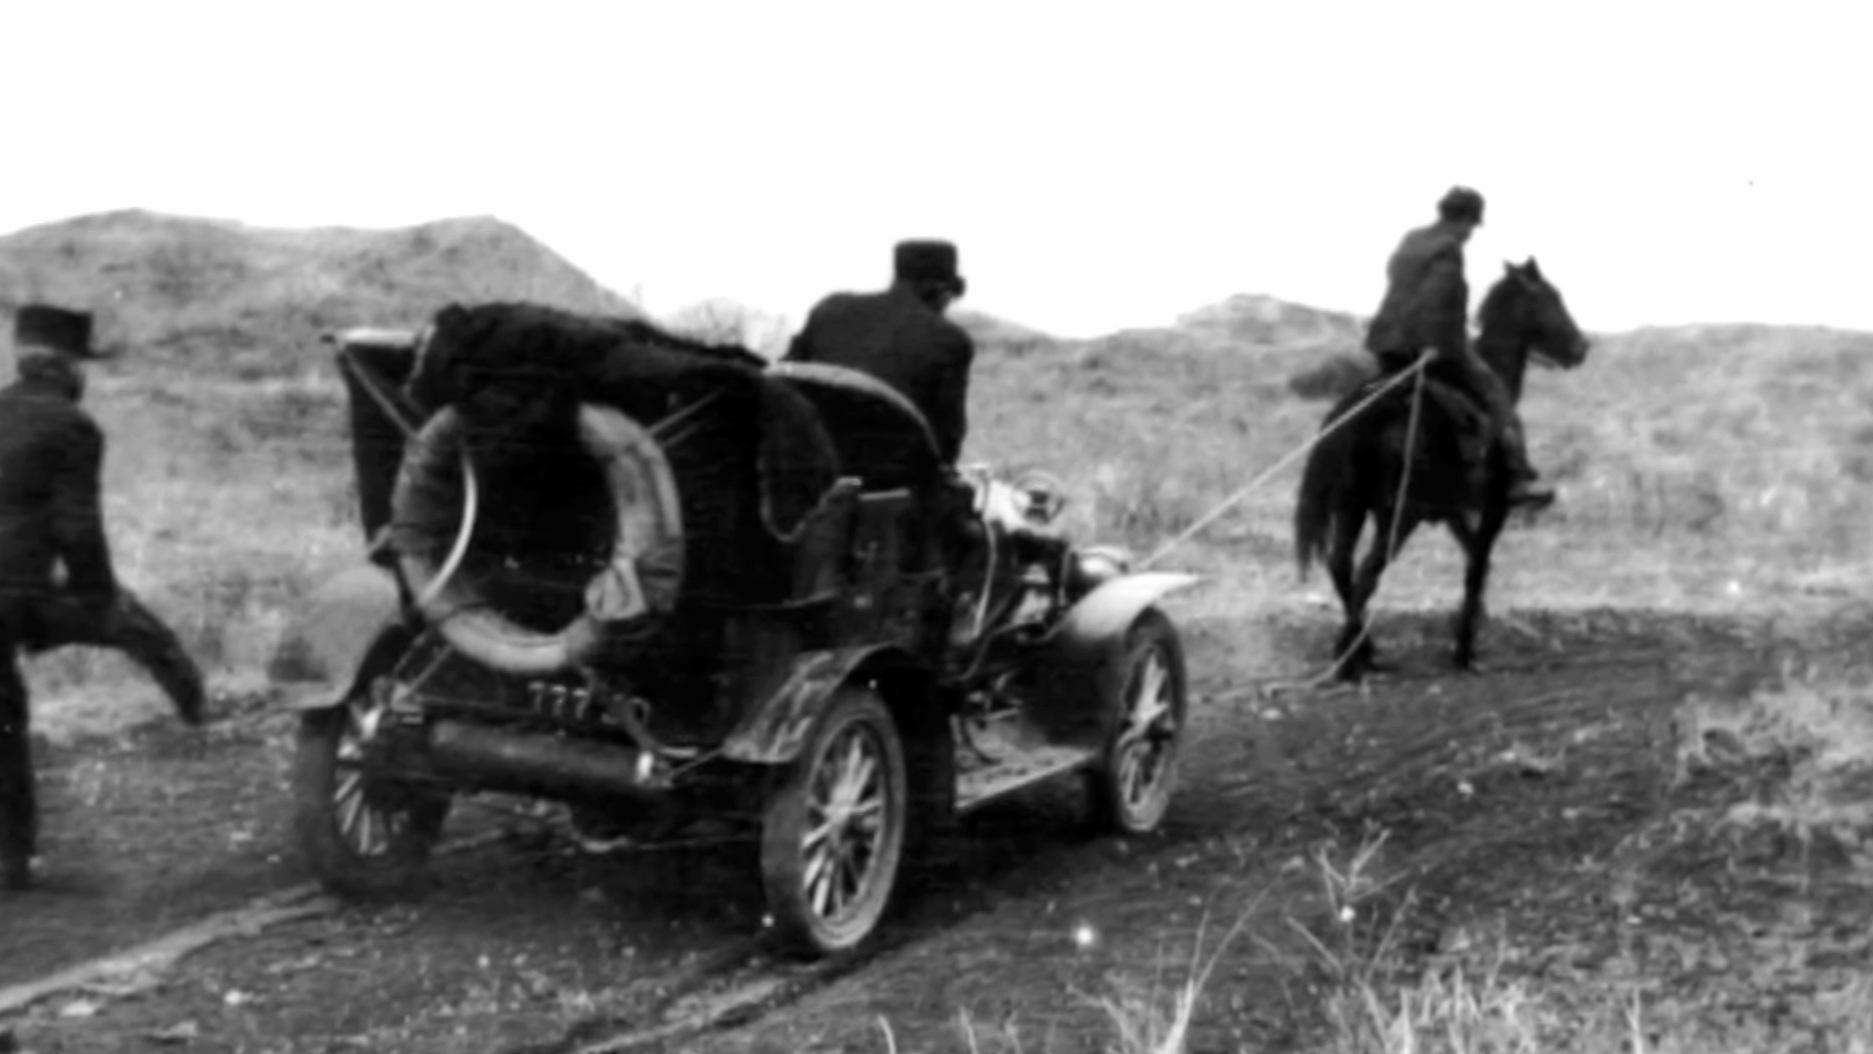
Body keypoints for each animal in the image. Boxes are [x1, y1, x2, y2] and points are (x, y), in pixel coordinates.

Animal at [1296, 260, 1588, 681]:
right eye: (1551, 297)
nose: (1581, 347)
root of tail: (1362, 410)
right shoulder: (1493, 509)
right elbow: (1477, 566)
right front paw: (1464, 651)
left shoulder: (1454, 513)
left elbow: (1474, 561)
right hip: (1399, 516)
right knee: (1367, 573)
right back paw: (1349, 658)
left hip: (1352, 507)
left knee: (1341, 567)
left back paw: (1361, 652)